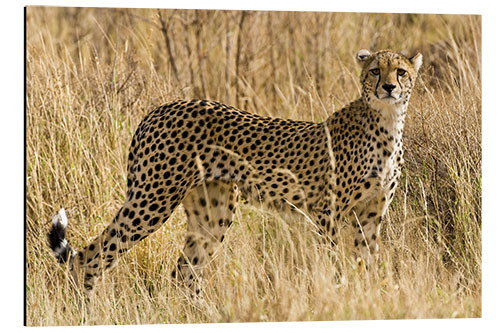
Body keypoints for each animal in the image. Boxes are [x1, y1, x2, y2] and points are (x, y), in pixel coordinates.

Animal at [48, 48, 422, 296]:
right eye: (375, 71)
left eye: (401, 72)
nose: (389, 87)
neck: (387, 124)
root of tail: (161, 108)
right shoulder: (328, 211)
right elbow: (333, 262)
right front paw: (337, 292)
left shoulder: (370, 216)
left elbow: (367, 261)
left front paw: (370, 295)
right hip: (154, 198)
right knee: (92, 256)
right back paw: (86, 308)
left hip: (212, 214)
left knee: (184, 271)